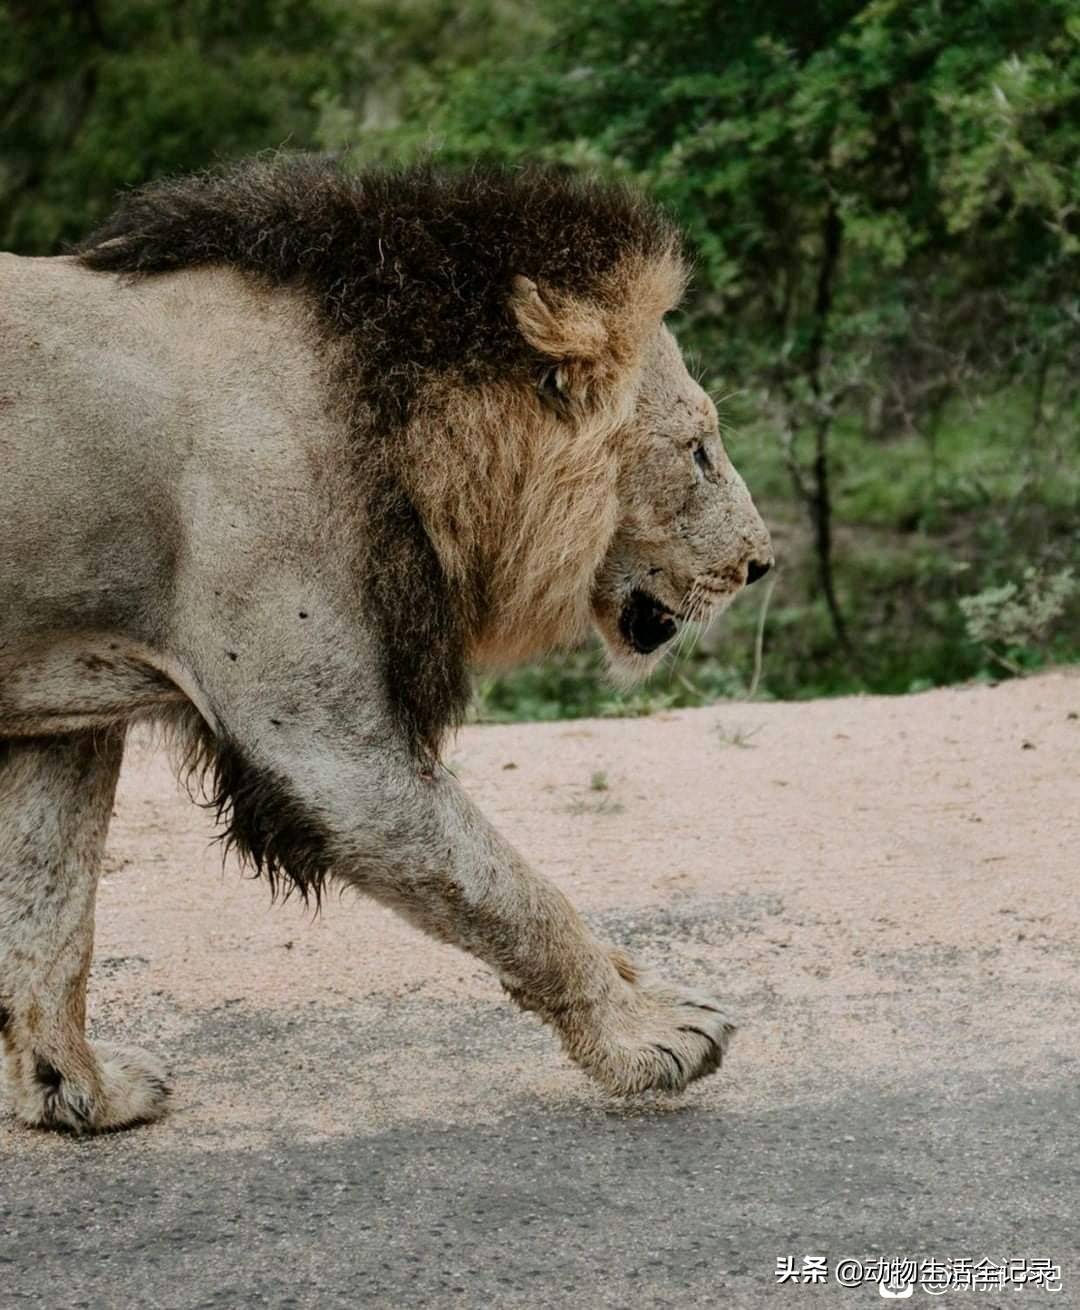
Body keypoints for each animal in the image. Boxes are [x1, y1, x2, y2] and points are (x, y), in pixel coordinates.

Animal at [2, 155, 775, 1137]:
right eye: (700, 452)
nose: (760, 562)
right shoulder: (320, 735)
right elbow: (512, 891)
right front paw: (653, 1034)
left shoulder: (67, 704)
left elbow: (48, 907)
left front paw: (77, 1092)